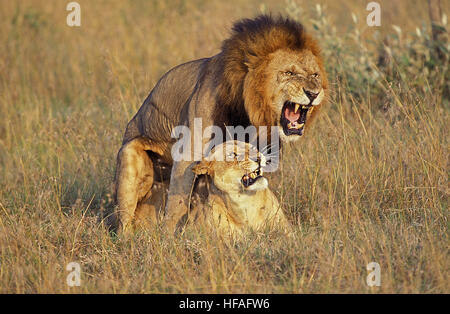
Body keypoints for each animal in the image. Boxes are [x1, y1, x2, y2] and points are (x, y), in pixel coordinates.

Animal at [114, 15, 328, 234]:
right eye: (288, 73)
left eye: (315, 75)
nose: (313, 93)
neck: (246, 111)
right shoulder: (188, 154)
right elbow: (177, 203)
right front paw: (170, 235)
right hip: (128, 158)